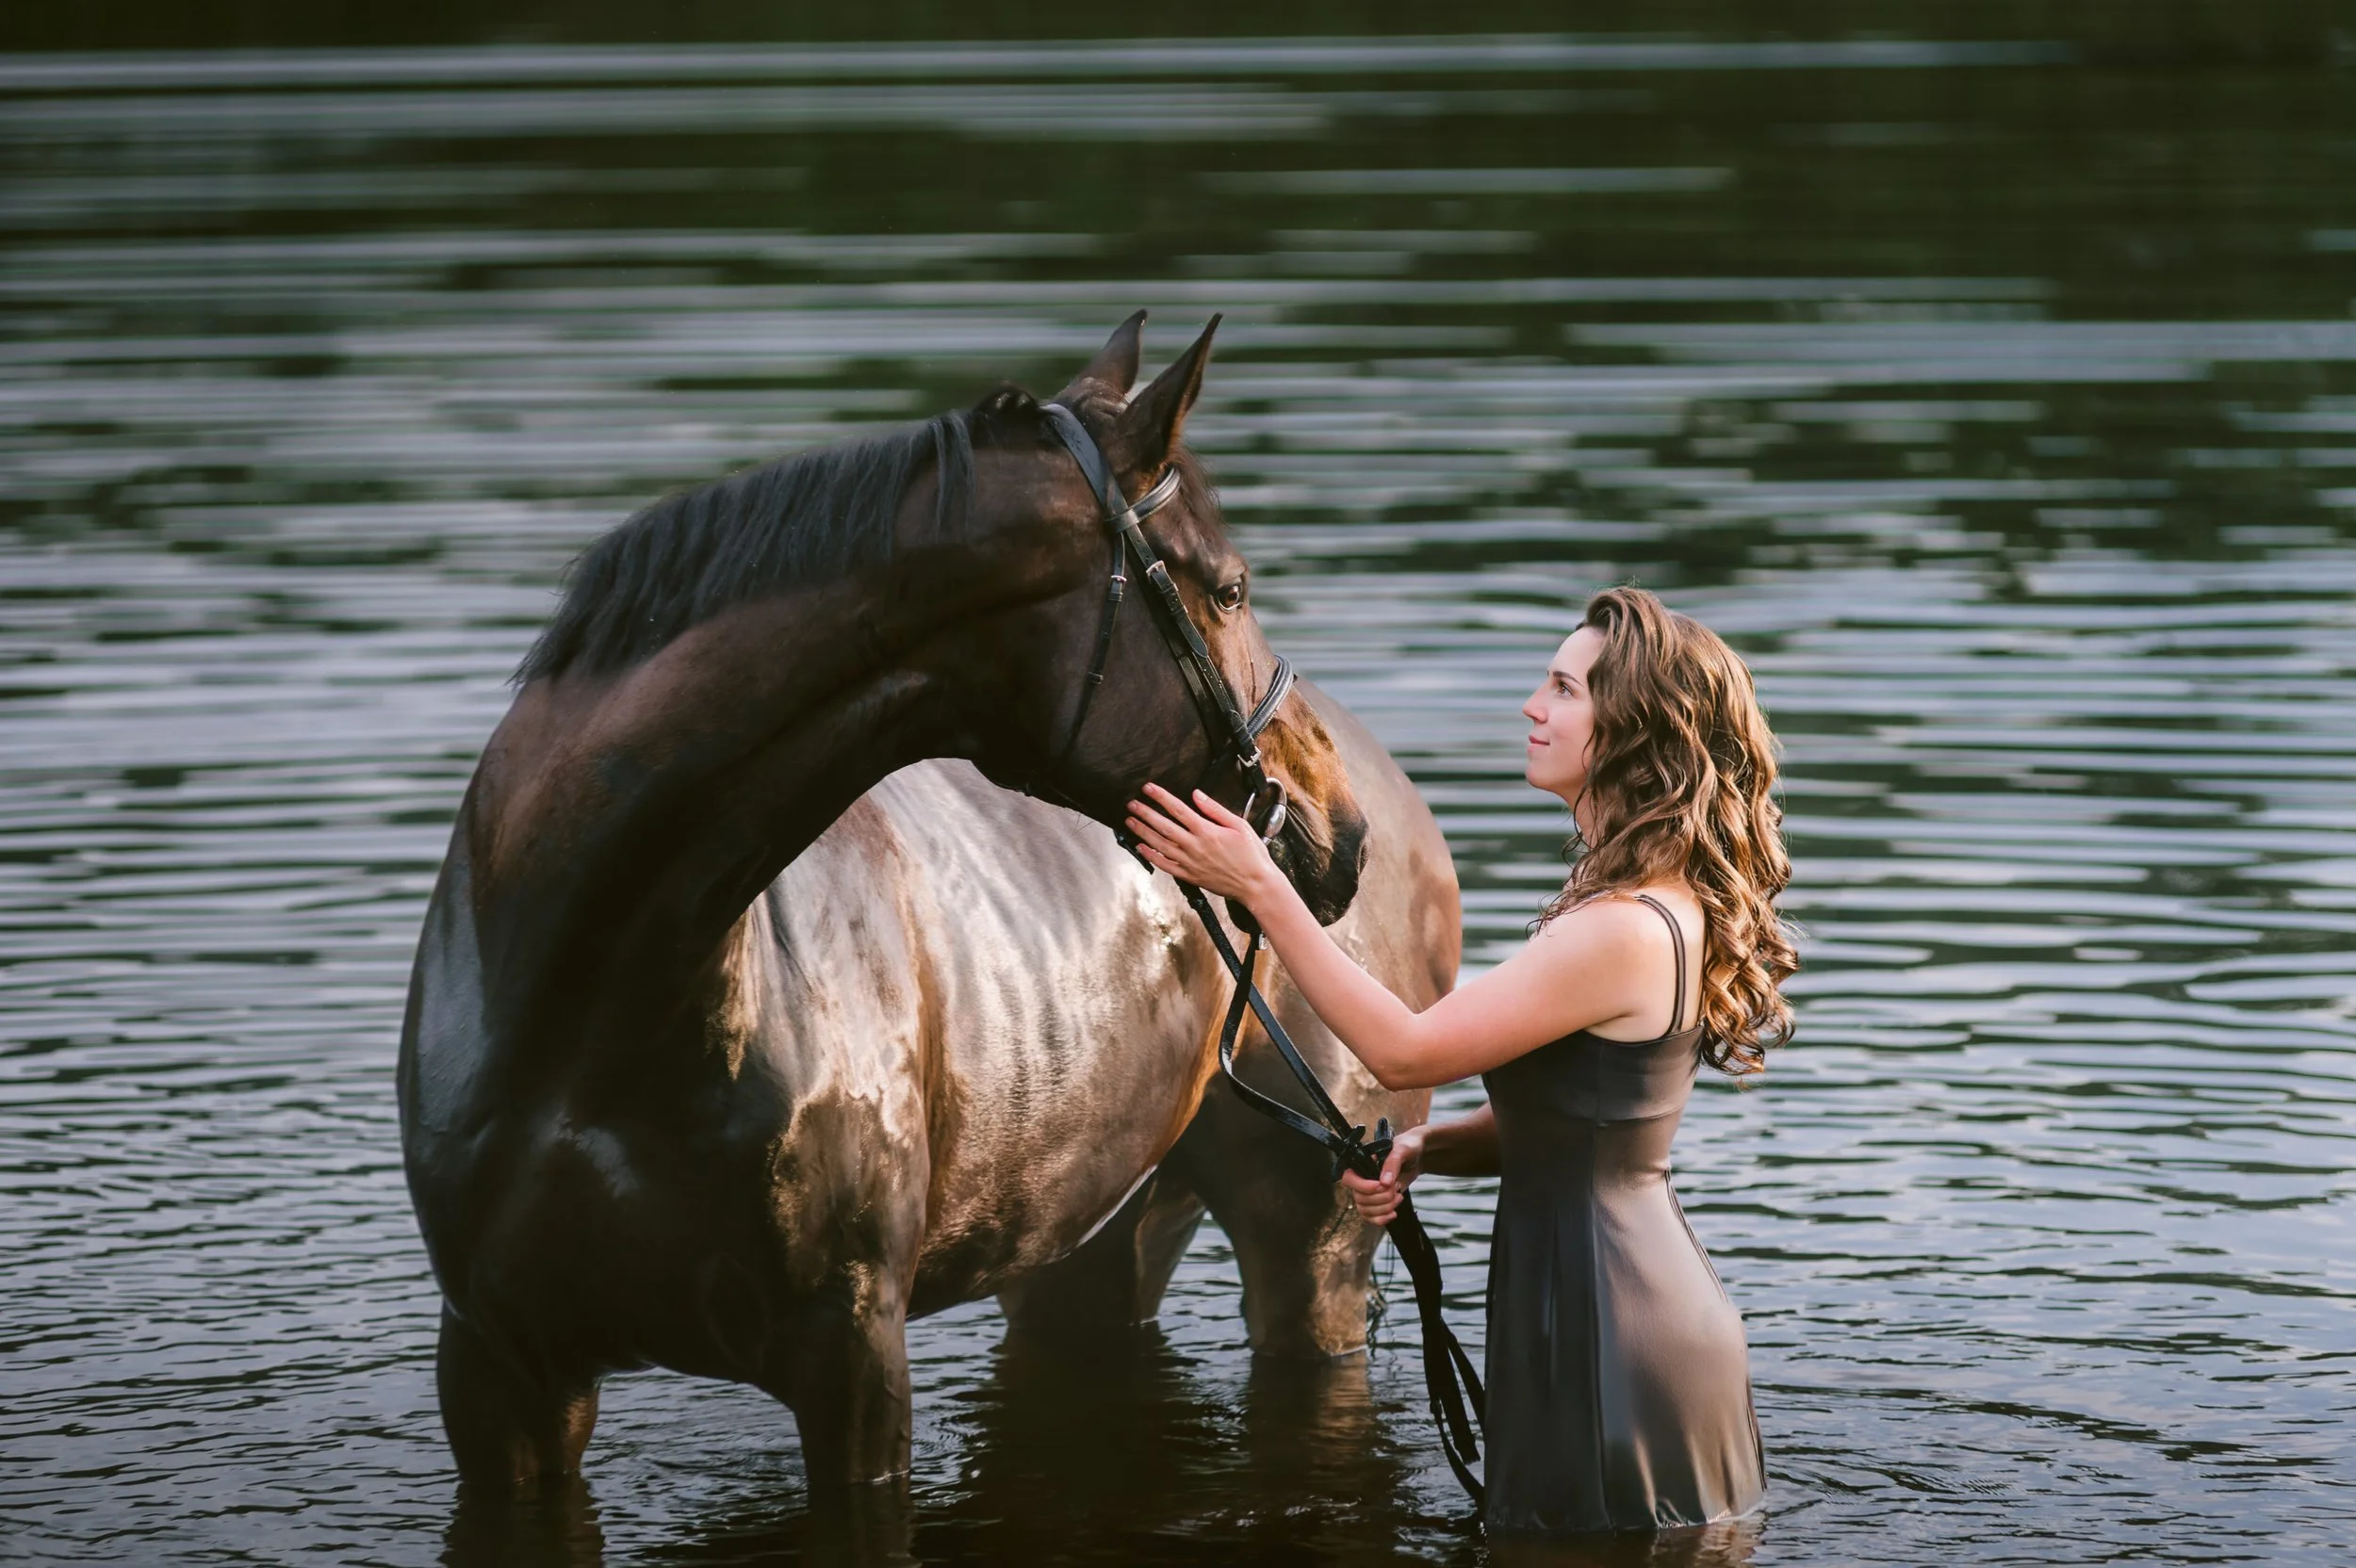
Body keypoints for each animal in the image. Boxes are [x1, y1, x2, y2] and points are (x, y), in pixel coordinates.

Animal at [397, 314, 1460, 1497]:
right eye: (1226, 588)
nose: (1337, 829)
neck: (601, 1006)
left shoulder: (853, 1357)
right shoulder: (498, 1372)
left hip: (1310, 1251)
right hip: (1080, 1239)